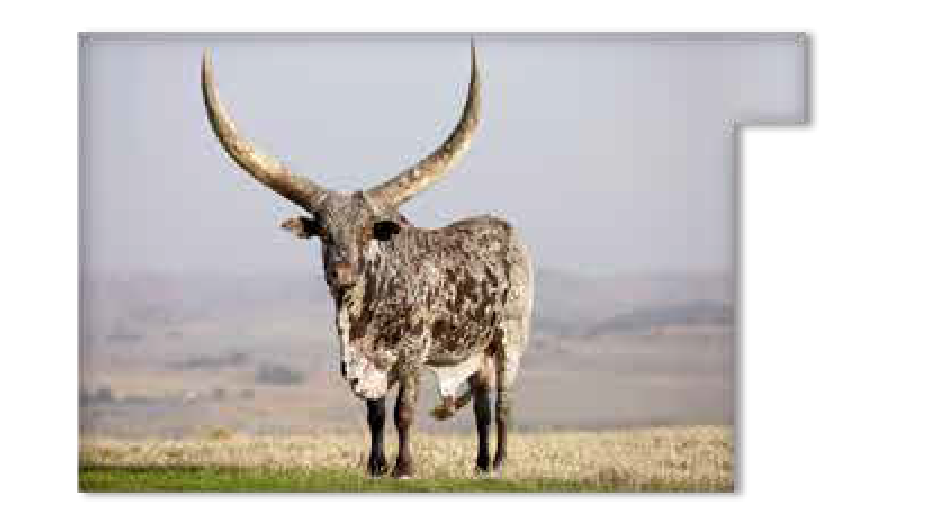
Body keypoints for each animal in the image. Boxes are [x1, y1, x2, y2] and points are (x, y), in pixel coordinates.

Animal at [201, 43, 533, 479]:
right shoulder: (363, 363)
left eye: (365, 233)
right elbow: (375, 415)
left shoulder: (411, 355)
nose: (340, 273)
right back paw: (480, 464)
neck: (367, 309)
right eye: (324, 232)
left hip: (510, 337)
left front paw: (404, 467)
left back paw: (500, 462)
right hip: (474, 354)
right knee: (481, 407)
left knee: (504, 404)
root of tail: (506, 229)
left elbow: (403, 412)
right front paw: (376, 465)